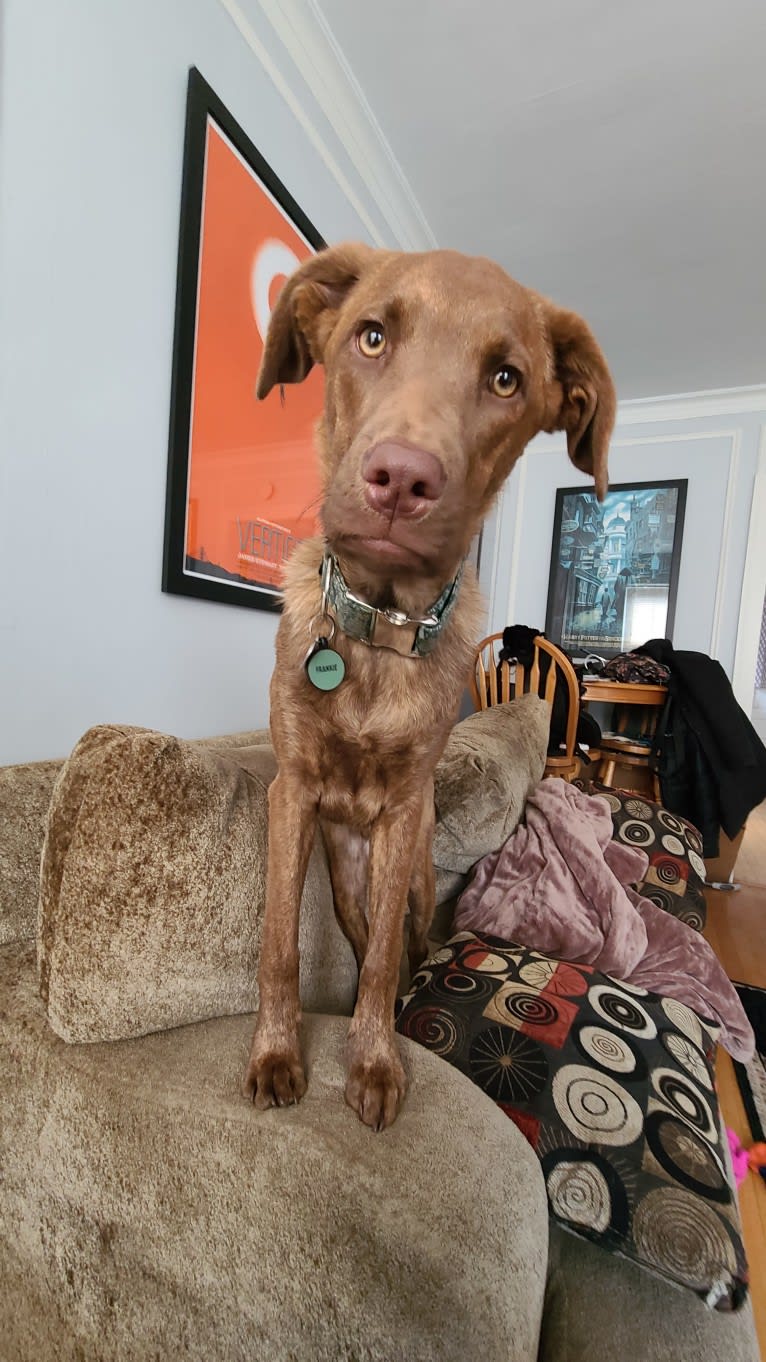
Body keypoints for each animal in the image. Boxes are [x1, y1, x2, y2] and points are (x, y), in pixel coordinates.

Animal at [243, 242, 613, 1127]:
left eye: (506, 380)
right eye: (372, 336)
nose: (401, 478)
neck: (378, 628)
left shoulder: (407, 809)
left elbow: (380, 961)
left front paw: (374, 1063)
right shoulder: (290, 793)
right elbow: (279, 945)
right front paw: (276, 1055)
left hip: (404, 871)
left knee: (404, 942)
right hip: (345, 876)